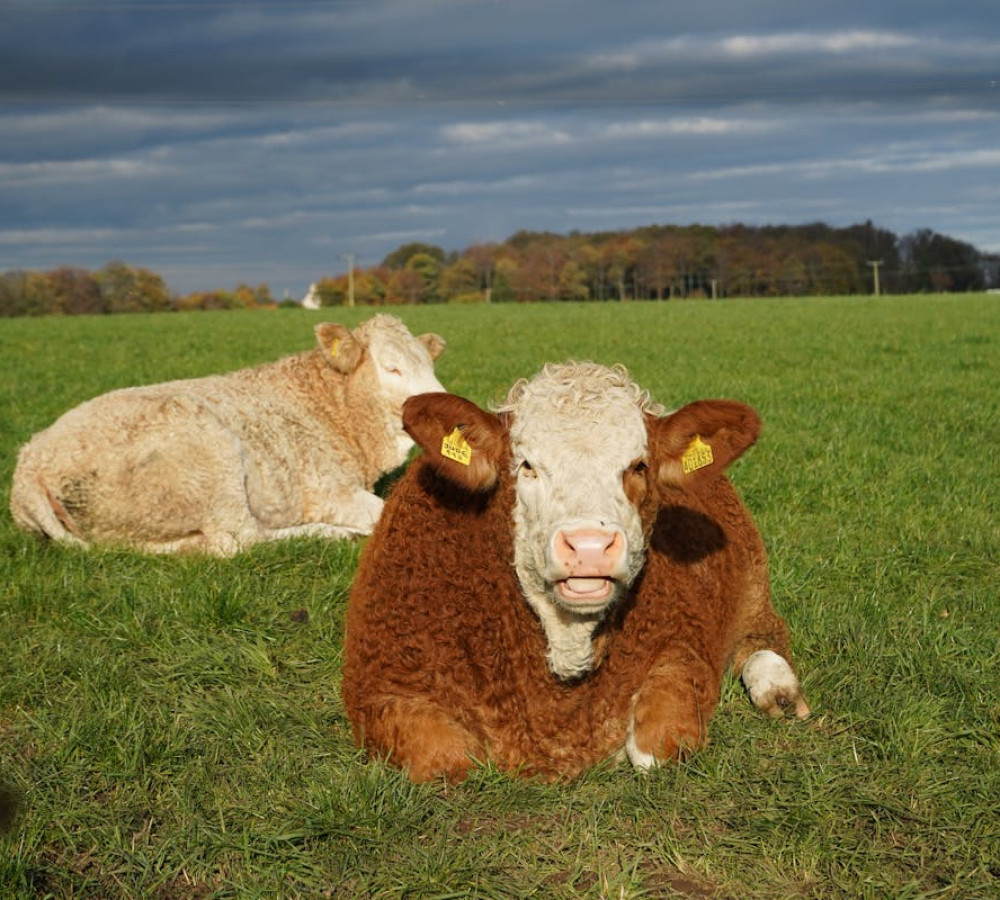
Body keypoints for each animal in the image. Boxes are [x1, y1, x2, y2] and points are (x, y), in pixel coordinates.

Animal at [10, 316, 446, 556]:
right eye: (392, 368)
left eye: (429, 364)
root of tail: (31, 462)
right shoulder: (330, 491)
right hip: (214, 463)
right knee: (241, 540)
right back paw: (335, 535)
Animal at [340, 358, 808, 780]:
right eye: (526, 466)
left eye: (639, 466)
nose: (589, 546)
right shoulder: (382, 684)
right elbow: (445, 759)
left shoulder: (684, 646)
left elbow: (656, 745)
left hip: (753, 587)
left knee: (763, 639)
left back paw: (779, 690)